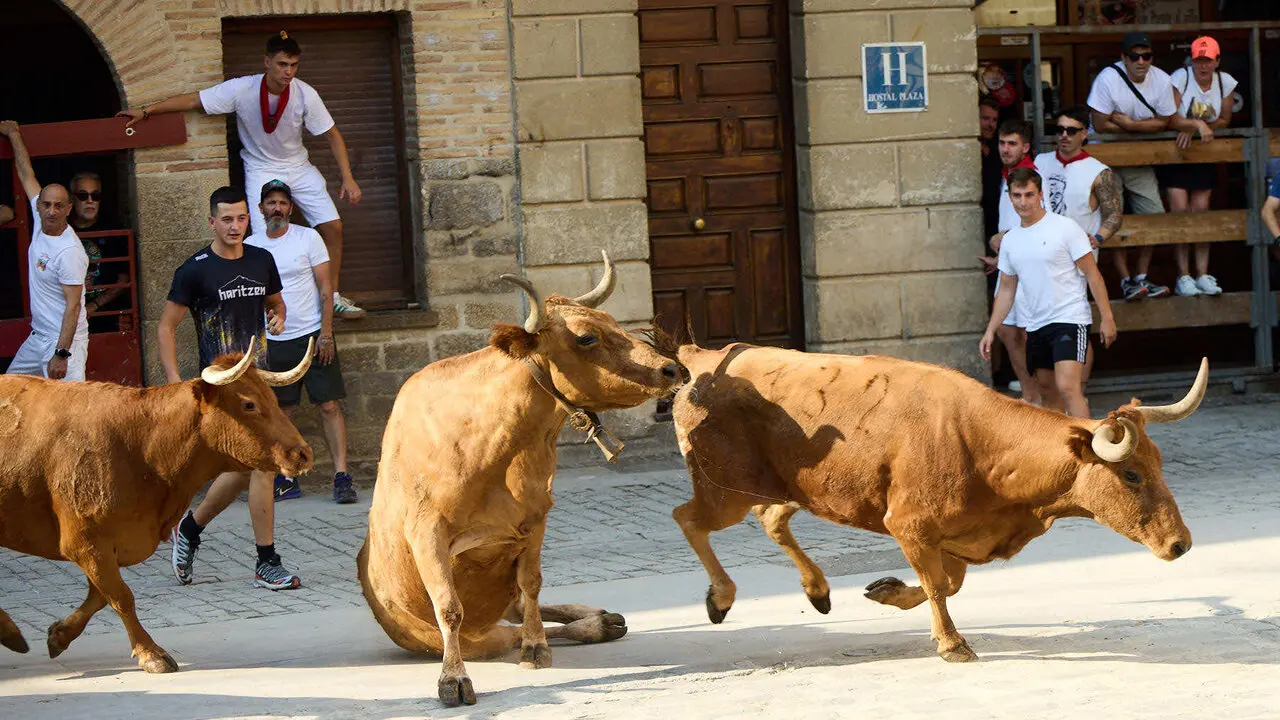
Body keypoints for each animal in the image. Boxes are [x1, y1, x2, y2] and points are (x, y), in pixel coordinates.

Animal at [0, 337, 313, 673]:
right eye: (249, 404)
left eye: (273, 398)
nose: (303, 453)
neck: (142, 446)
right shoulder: (85, 542)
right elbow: (121, 596)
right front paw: (150, 652)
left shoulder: (109, 544)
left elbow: (100, 596)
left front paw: (59, 635)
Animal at [357, 251, 683, 707]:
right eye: (586, 338)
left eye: (613, 321)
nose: (671, 369)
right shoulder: (427, 533)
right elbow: (449, 608)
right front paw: (453, 679)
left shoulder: (535, 521)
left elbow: (533, 585)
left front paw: (536, 648)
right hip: (479, 637)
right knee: (500, 630)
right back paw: (598, 624)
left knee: (526, 608)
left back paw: (598, 618)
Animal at [670, 343, 1204, 663]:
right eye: (1131, 474)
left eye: (1159, 464)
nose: (1181, 544)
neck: (981, 444)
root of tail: (705, 358)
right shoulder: (910, 525)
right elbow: (938, 584)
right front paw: (951, 643)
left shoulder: (958, 537)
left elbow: (946, 583)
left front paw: (888, 592)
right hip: (727, 491)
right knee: (688, 519)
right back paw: (721, 597)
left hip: (784, 489)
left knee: (771, 518)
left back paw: (817, 590)